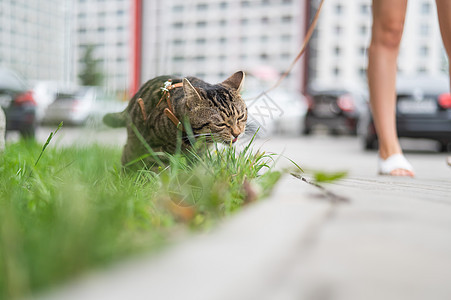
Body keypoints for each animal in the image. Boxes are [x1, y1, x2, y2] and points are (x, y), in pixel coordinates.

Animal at [103, 71, 247, 169]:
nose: (237, 133)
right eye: (220, 124)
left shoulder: (199, 154)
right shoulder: (156, 149)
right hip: (137, 141)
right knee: (127, 154)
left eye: (240, 117)